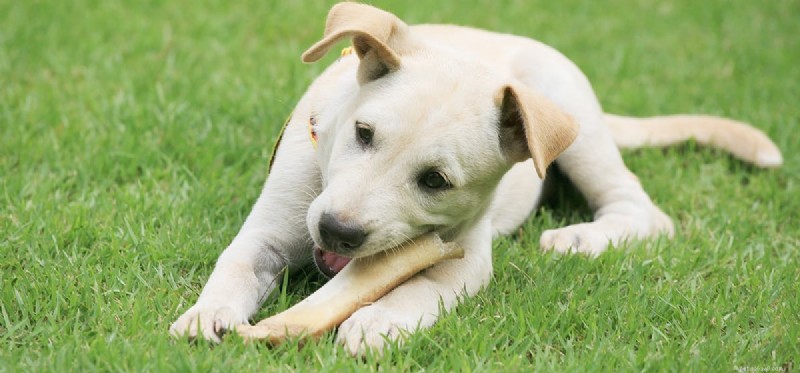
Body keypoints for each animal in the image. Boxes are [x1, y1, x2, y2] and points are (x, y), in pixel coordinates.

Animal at [170, 2, 780, 354]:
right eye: (363, 133)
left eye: (436, 181)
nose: (338, 231)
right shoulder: (271, 229)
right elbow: (236, 264)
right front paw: (206, 315)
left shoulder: (463, 260)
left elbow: (418, 289)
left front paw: (378, 320)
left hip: (577, 126)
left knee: (642, 210)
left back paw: (580, 238)